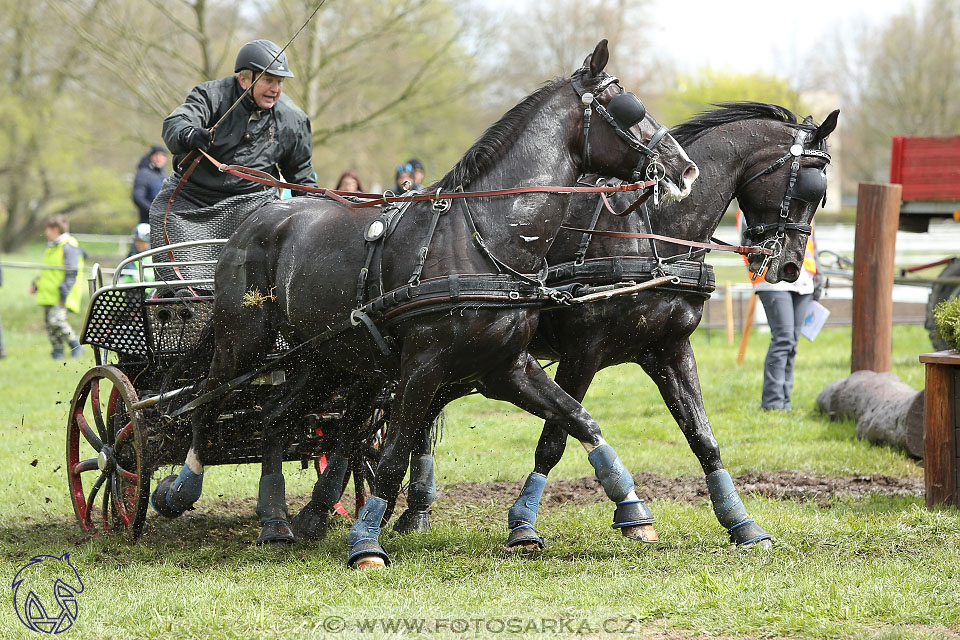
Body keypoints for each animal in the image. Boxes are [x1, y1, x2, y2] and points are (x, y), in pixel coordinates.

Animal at [156, 42, 696, 568]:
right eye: (629, 108)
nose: (684, 169)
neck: (484, 237)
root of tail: (255, 221)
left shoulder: (508, 367)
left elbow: (579, 420)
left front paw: (632, 509)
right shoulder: (422, 368)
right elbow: (394, 455)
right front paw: (366, 544)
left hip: (323, 358)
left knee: (273, 417)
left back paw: (275, 522)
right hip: (243, 341)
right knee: (205, 403)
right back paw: (180, 490)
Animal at [390, 101, 840, 552]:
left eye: (820, 196)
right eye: (810, 187)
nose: (791, 266)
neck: (651, 233)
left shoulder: (670, 351)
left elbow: (703, 438)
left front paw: (741, 523)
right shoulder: (582, 353)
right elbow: (554, 440)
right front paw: (525, 523)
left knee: (424, 416)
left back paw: (416, 511)